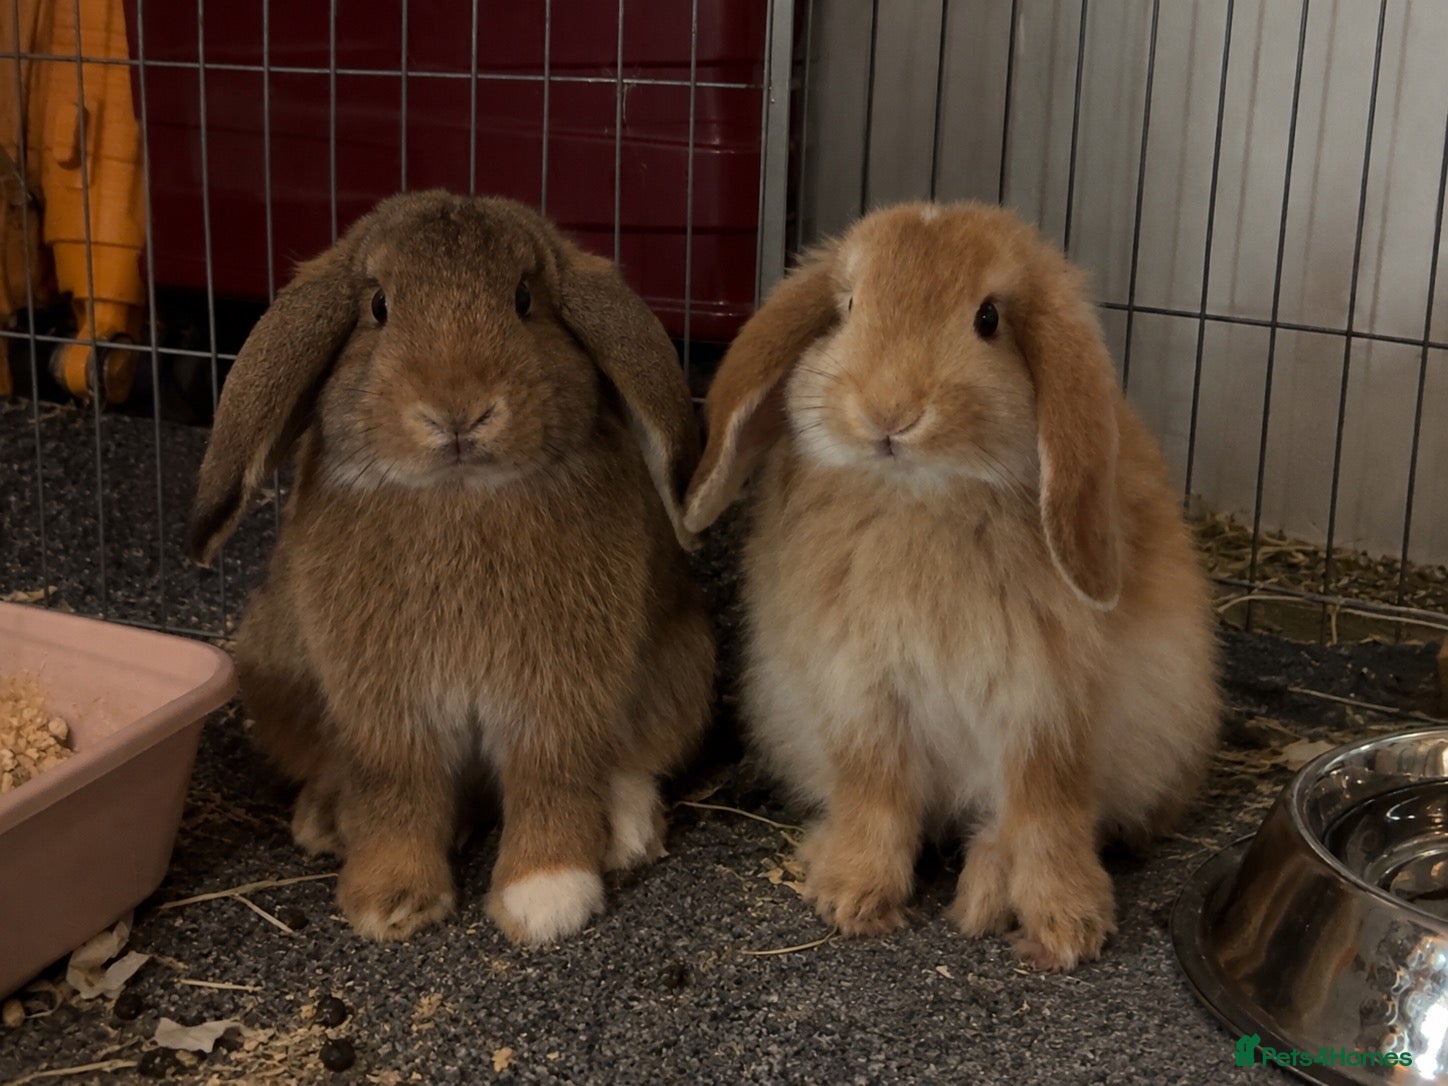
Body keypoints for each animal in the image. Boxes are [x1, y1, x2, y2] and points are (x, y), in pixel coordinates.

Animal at [189, 190, 714, 945]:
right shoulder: (389, 714)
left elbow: (550, 779)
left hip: (686, 665)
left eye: (524, 300)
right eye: (378, 307)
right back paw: (327, 821)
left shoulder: (555, 700)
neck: (459, 493)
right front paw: (390, 902)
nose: (458, 410)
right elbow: (398, 790)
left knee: (634, 762)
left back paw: (627, 832)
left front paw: (547, 898)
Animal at [683, 201, 1219, 971]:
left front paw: (1067, 929)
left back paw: (989, 894)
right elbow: (874, 795)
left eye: (988, 319)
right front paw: (852, 897)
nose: (888, 412)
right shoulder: (862, 698)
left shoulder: (1044, 713)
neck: (925, 495)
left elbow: (1044, 813)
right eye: (847, 307)